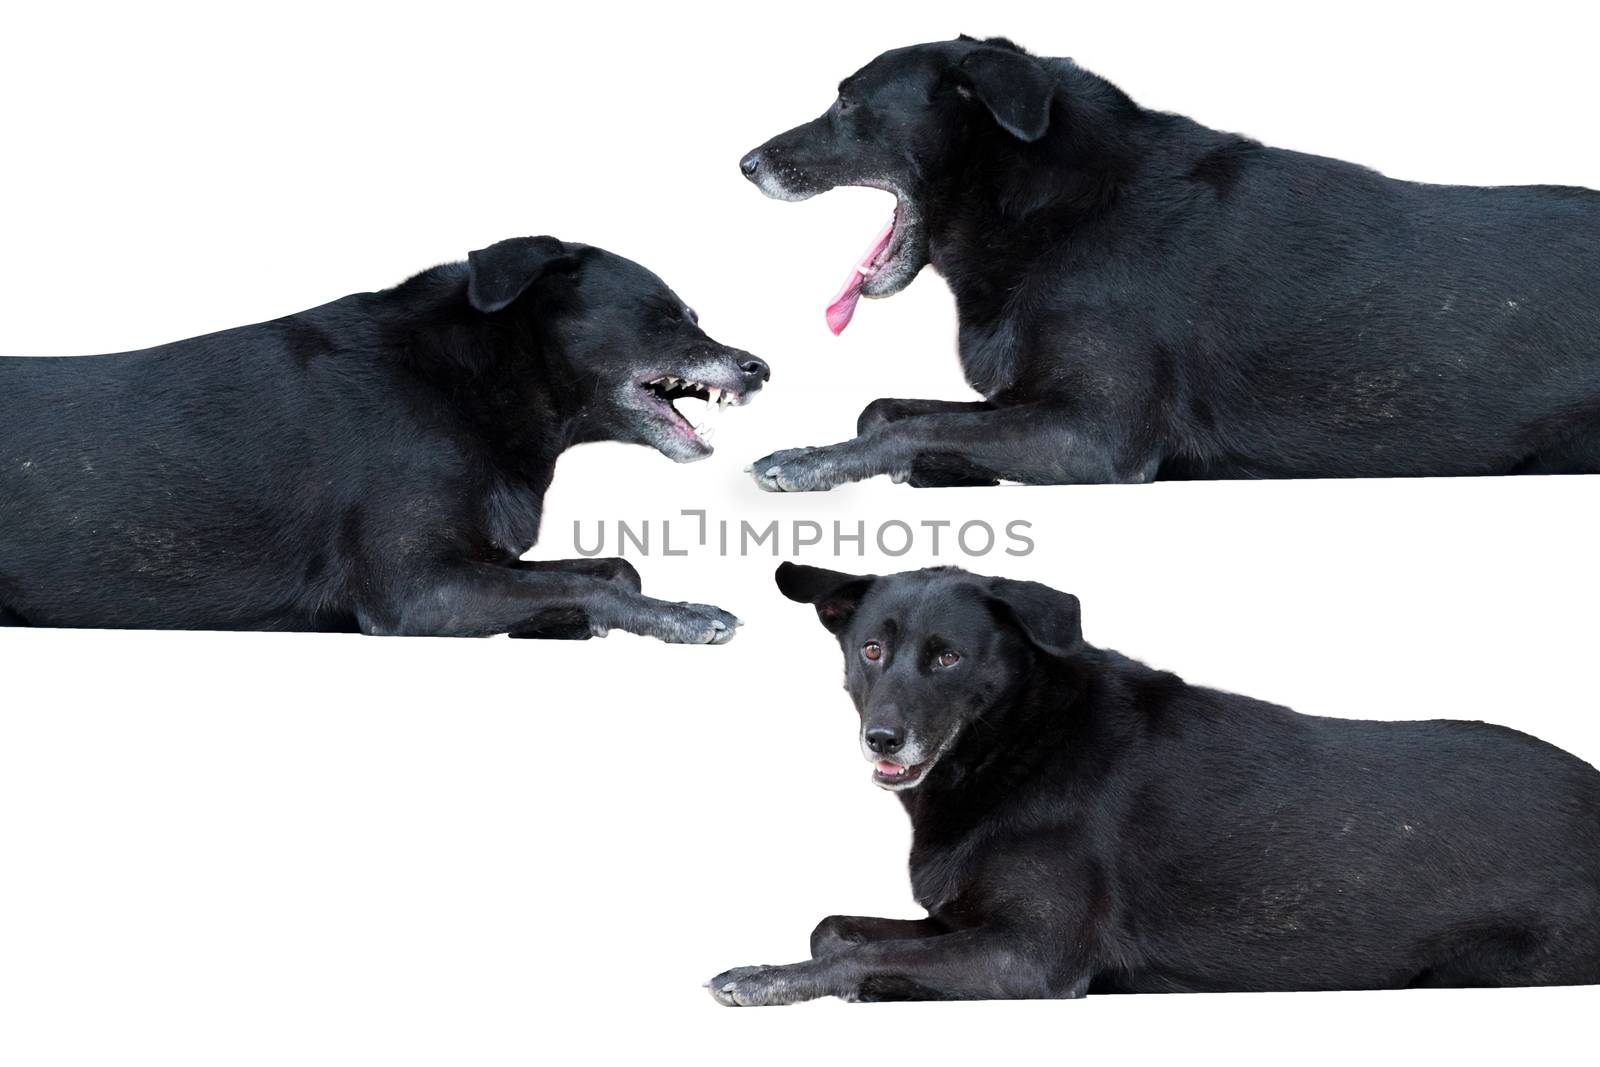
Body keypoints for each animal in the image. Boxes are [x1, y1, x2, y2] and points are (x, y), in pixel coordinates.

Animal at [0, 239, 768, 643]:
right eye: (668, 317)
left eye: (691, 315)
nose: (761, 367)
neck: (465, 384)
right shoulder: (416, 589)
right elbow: (597, 582)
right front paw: (682, 615)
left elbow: (613, 569)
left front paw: (567, 620)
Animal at [710, 563, 1600, 1004]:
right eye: (871, 649)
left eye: (948, 656)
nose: (882, 738)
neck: (1021, 741)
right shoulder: (969, 921)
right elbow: (834, 929)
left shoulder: (1029, 955)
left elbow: (851, 950)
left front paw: (763, 978)